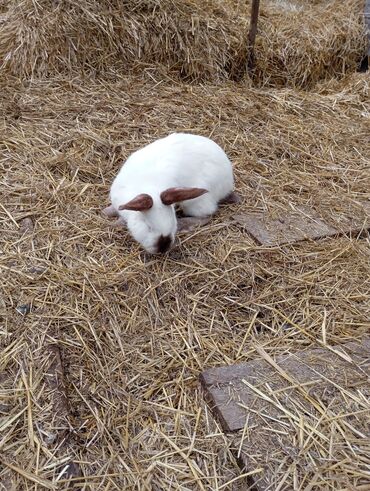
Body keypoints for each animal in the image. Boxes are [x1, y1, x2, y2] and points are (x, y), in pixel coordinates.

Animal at [104, 133, 237, 256]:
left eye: (173, 222)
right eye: (148, 227)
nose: (163, 248)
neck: (149, 186)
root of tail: (228, 181)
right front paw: (108, 213)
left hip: (195, 203)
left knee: (207, 215)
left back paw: (185, 224)